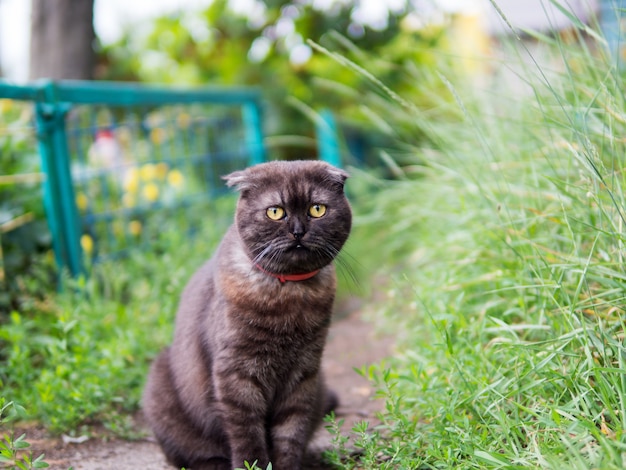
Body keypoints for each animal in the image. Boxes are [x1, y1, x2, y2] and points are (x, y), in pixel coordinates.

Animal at [143, 160, 354, 468]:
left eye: (317, 209)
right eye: (275, 211)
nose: (298, 231)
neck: (288, 295)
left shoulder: (304, 372)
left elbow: (291, 432)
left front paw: (287, 465)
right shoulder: (236, 373)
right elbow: (247, 434)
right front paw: (253, 464)